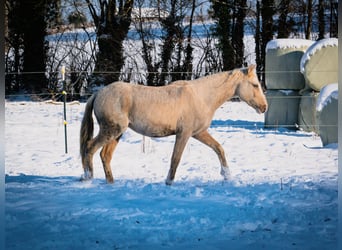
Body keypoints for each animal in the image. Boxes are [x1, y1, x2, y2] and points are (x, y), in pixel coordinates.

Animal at [79, 65, 268, 186]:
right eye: (255, 85)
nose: (264, 107)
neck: (202, 97)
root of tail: (98, 93)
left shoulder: (199, 133)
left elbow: (218, 148)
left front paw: (227, 176)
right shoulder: (184, 134)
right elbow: (175, 158)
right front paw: (168, 182)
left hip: (117, 133)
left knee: (104, 155)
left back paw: (111, 183)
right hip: (112, 130)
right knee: (89, 148)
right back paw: (88, 178)